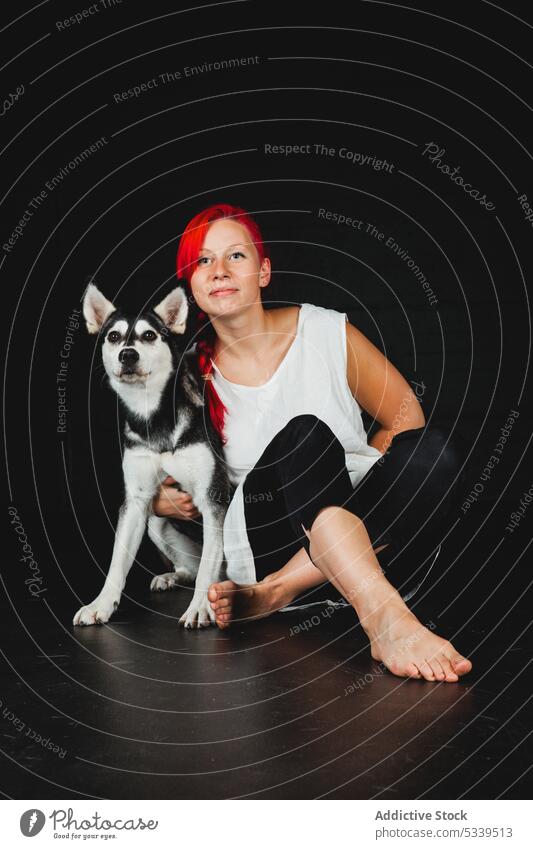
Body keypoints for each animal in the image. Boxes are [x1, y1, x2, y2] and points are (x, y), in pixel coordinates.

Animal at [73, 282, 233, 628]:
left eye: (149, 335)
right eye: (114, 336)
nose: (127, 354)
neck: (152, 417)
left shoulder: (212, 498)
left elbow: (208, 568)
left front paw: (200, 607)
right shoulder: (136, 501)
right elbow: (117, 562)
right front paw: (101, 604)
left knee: (214, 568)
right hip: (155, 525)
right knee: (191, 568)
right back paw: (172, 576)